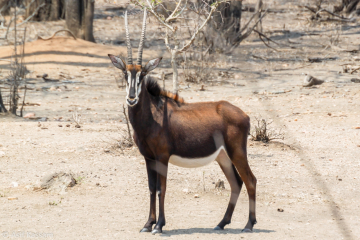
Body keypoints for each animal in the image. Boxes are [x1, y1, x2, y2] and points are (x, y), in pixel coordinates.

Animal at [108, 9, 258, 234]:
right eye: (125, 73)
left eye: (142, 74)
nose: (132, 98)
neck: (153, 116)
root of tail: (244, 115)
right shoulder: (148, 157)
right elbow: (151, 189)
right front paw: (147, 224)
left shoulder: (162, 156)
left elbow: (161, 189)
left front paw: (159, 225)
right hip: (223, 156)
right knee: (236, 183)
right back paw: (221, 223)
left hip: (237, 152)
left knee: (250, 181)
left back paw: (248, 225)